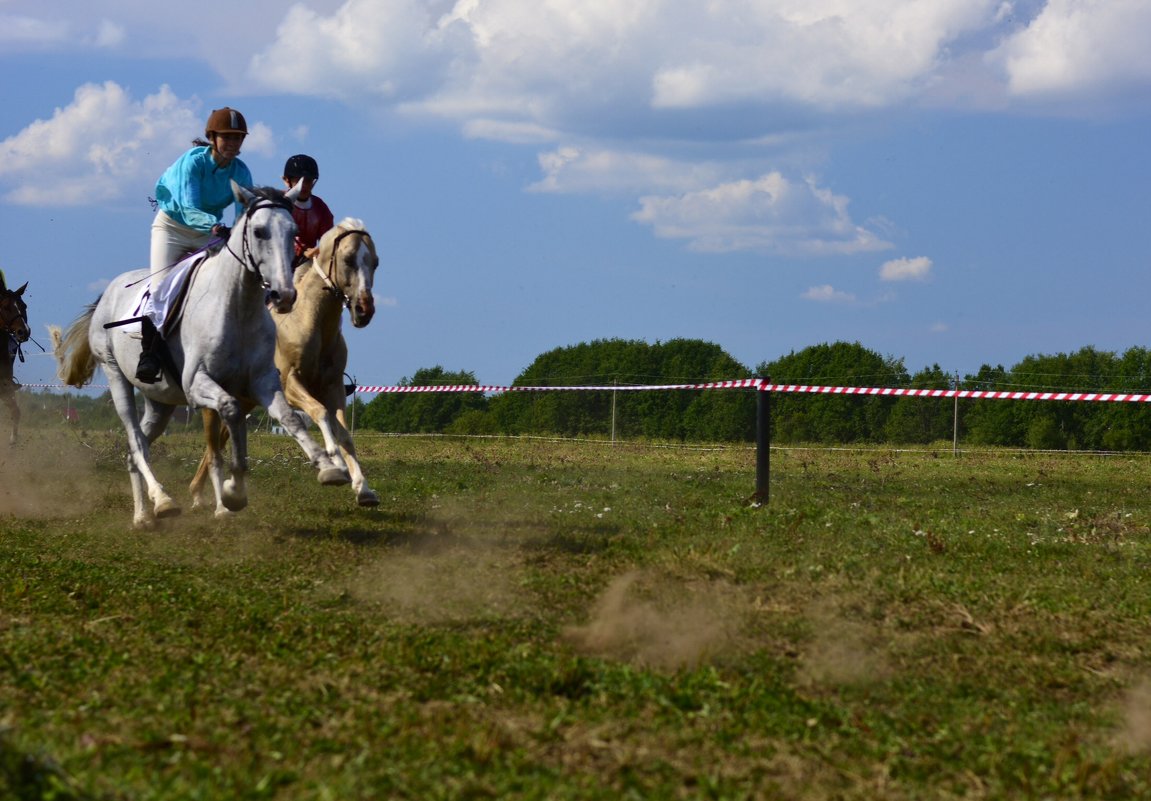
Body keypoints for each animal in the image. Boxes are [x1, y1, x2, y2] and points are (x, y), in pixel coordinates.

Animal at [52, 184, 349, 529]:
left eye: (293, 232)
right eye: (259, 231)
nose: (284, 295)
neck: (238, 306)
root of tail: (108, 293)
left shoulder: (262, 382)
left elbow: (289, 418)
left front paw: (329, 468)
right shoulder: (198, 384)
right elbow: (231, 412)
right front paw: (233, 492)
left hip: (160, 401)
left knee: (134, 448)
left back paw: (142, 515)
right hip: (116, 378)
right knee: (136, 442)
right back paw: (162, 501)